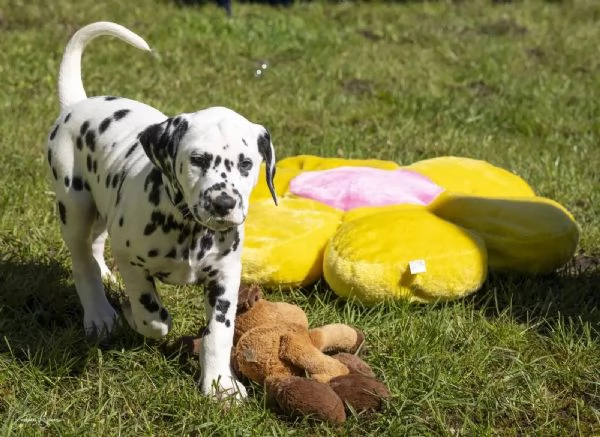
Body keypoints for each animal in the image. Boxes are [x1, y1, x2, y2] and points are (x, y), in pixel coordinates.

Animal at [45, 23, 278, 398]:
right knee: (82, 263)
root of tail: (78, 104)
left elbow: (219, 333)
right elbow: (150, 314)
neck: (189, 228)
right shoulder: (132, 261)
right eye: (197, 159)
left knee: (95, 246)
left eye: (246, 163)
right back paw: (100, 314)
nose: (223, 204)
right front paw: (144, 318)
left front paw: (220, 386)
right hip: (74, 205)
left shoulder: (226, 275)